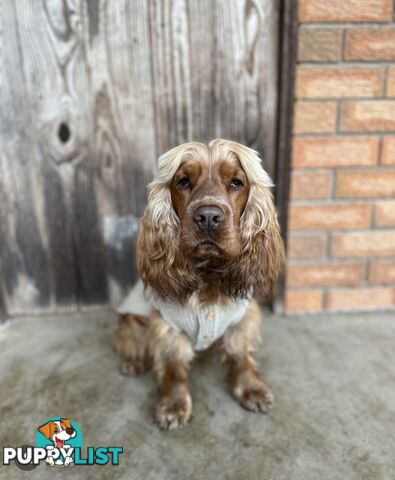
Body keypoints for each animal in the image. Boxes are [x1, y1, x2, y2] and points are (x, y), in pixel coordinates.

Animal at [114, 138, 284, 428]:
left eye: (236, 182)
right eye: (183, 181)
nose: (208, 217)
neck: (209, 273)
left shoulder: (243, 318)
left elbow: (241, 356)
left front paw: (251, 389)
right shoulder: (167, 326)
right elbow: (174, 368)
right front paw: (174, 404)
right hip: (130, 320)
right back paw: (133, 363)